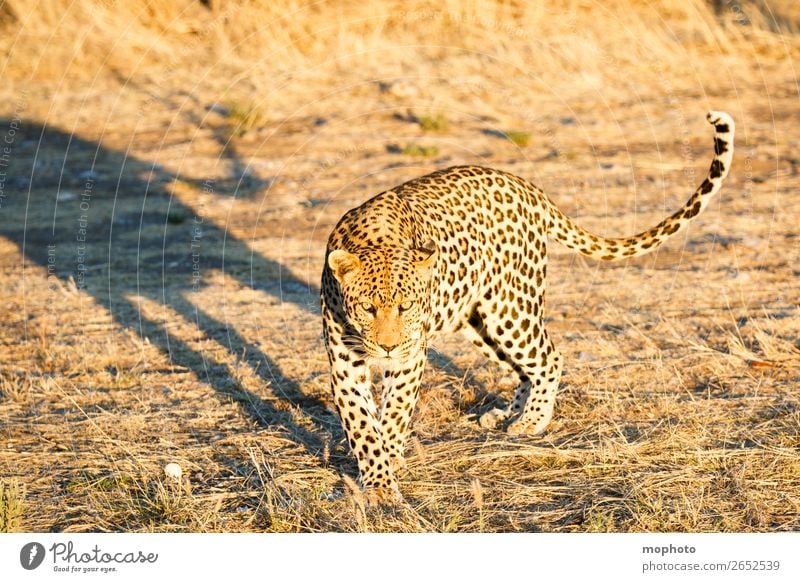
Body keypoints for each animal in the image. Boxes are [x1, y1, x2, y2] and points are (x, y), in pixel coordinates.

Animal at [322, 112, 736, 504]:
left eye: (406, 306)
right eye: (367, 308)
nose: (388, 347)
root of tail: (527, 187)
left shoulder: (410, 356)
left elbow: (393, 413)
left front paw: (387, 469)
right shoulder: (345, 363)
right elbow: (363, 424)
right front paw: (376, 479)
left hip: (511, 307)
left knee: (549, 358)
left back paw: (532, 421)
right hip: (479, 320)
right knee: (523, 369)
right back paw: (511, 413)